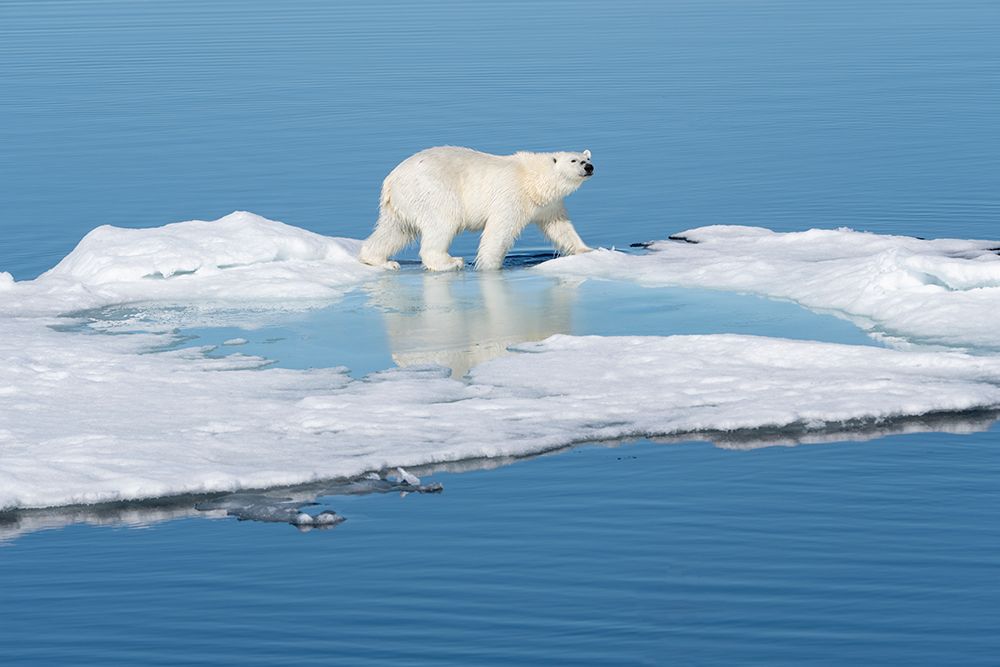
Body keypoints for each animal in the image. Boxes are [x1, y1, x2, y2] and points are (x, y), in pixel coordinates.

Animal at [358, 146, 594, 271]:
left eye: (587, 158)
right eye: (574, 160)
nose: (589, 167)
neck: (532, 179)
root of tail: (390, 180)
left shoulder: (548, 205)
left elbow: (559, 227)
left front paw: (587, 251)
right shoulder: (510, 196)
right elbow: (499, 232)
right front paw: (490, 266)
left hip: (402, 202)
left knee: (395, 230)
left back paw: (382, 261)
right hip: (433, 191)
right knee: (443, 223)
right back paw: (451, 262)